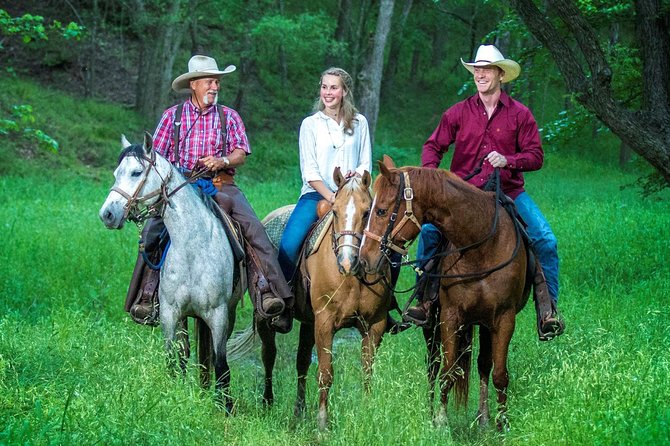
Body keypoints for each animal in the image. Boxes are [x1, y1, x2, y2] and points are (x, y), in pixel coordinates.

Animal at [98, 132, 245, 412]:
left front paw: (225, 407)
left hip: (227, 313)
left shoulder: (218, 314)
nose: (107, 214)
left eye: (136, 172)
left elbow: (221, 362)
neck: (192, 247)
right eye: (115, 173)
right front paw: (174, 393)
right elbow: (173, 357)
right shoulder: (170, 313)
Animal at [360, 156, 532, 428]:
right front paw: (440, 421)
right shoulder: (450, 316)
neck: (481, 245)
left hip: (485, 323)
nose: (364, 258)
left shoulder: (504, 318)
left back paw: (484, 418)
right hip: (433, 328)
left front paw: (502, 423)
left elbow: (500, 374)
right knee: (433, 366)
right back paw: (432, 412)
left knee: (484, 364)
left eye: (381, 211)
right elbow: (448, 371)